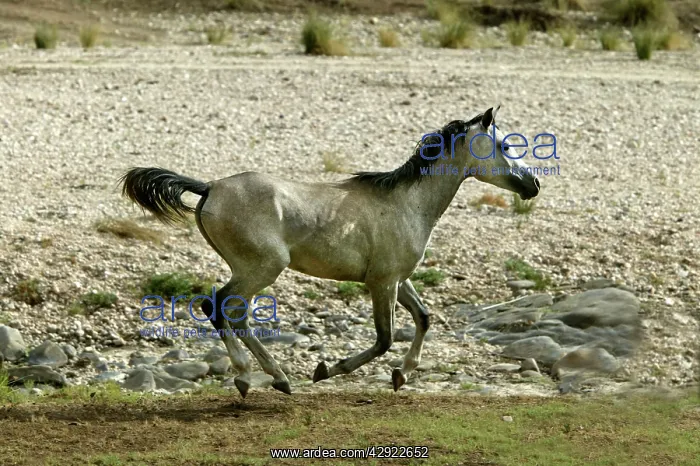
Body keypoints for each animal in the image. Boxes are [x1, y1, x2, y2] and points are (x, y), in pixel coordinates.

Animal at [120, 105, 540, 398]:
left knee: (231, 313)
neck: (407, 203)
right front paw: (327, 370)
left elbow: (423, 318)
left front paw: (402, 375)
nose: (533, 184)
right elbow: (384, 338)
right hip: (263, 267)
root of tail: (209, 187)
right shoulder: (382, 283)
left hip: (253, 269)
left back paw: (269, 378)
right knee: (221, 306)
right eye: (504, 145)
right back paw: (261, 377)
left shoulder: (396, 279)